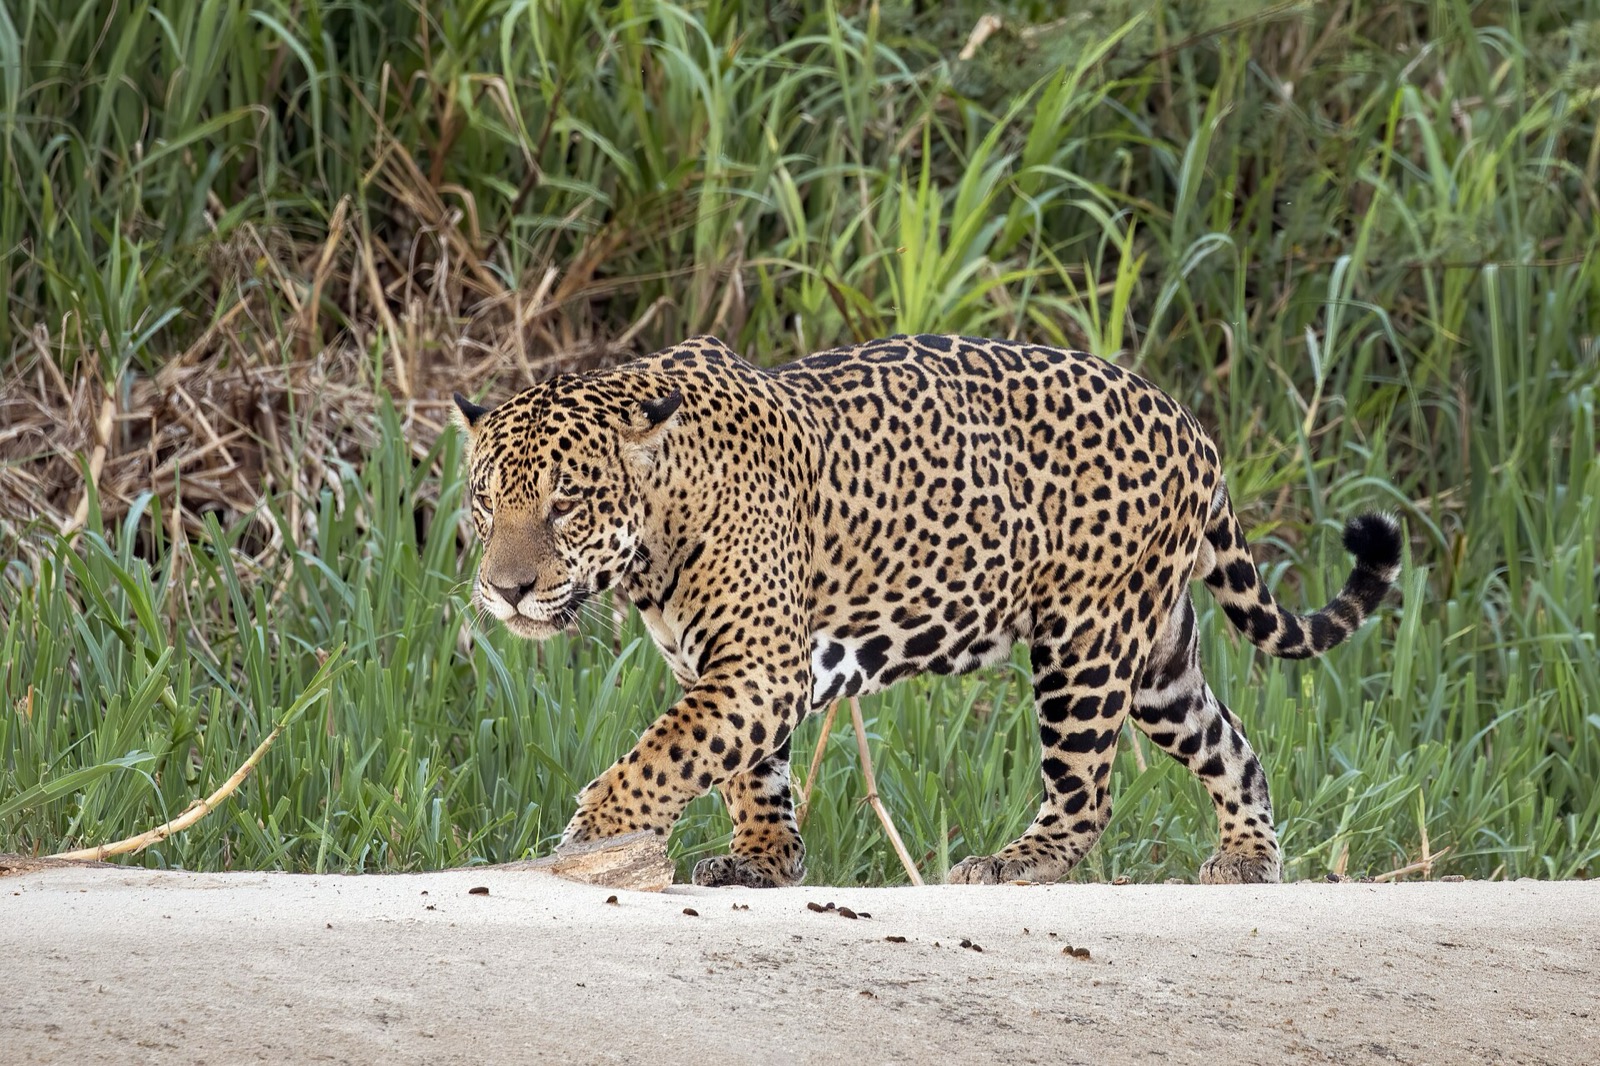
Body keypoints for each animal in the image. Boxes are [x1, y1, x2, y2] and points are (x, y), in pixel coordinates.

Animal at [453, 333, 1401, 888]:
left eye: (566, 505)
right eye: (486, 499)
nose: (505, 589)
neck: (656, 534)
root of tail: (1191, 425)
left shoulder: (759, 668)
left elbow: (664, 753)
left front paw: (592, 833)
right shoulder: (724, 669)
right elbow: (743, 768)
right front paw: (765, 859)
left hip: (1086, 644)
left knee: (1086, 791)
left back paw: (1015, 864)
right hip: (1158, 657)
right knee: (1232, 746)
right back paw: (1247, 858)